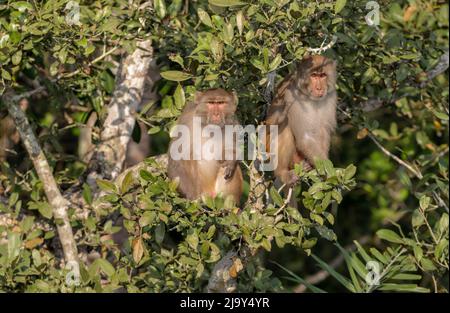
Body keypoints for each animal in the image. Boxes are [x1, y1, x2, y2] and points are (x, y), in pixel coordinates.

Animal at [266, 54, 336, 185]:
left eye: (322, 75)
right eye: (314, 75)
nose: (319, 88)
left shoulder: (331, 96)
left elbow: (323, 130)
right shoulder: (292, 97)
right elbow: (304, 137)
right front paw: (331, 173)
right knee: (285, 124)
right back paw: (282, 173)